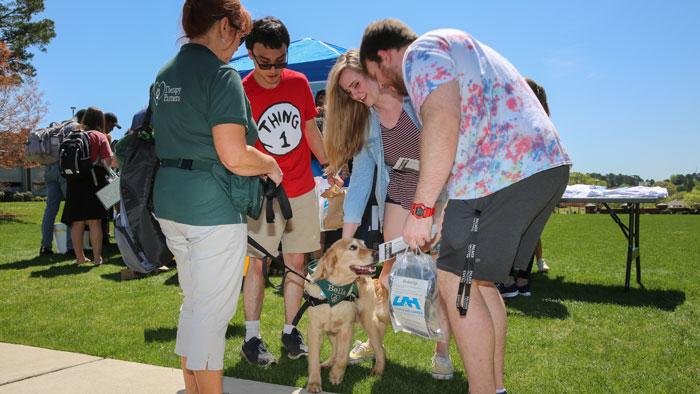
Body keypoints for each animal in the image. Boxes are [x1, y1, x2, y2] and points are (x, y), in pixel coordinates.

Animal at [304, 239, 392, 392]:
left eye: (364, 245)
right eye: (353, 247)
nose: (377, 253)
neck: (335, 289)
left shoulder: (347, 328)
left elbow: (343, 356)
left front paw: (336, 375)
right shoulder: (314, 330)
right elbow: (314, 359)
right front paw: (314, 383)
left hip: (368, 321)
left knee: (380, 349)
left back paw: (378, 369)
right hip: (331, 331)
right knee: (335, 351)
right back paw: (327, 363)